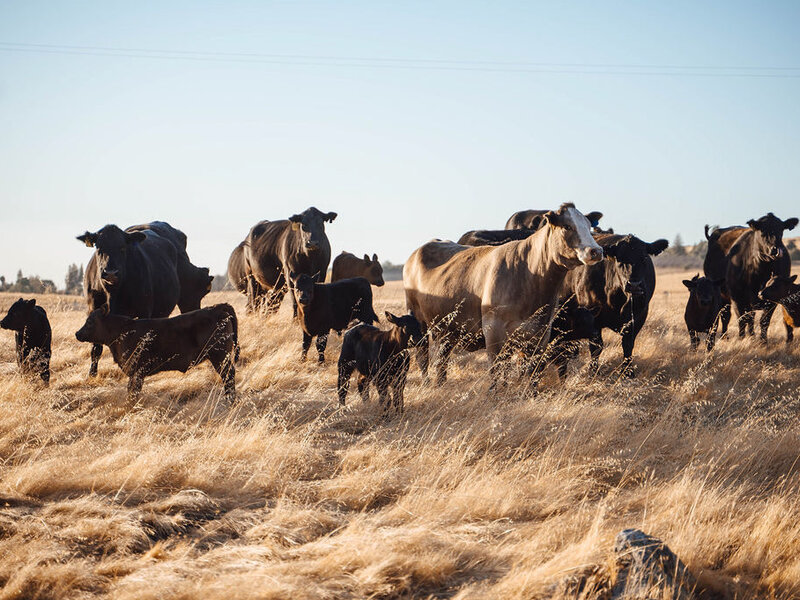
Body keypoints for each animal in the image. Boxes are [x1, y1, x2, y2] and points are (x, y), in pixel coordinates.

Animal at [75, 303, 238, 400]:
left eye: (90, 321)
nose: (77, 333)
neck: (124, 331)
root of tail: (217, 307)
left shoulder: (138, 370)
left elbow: (133, 391)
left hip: (219, 356)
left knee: (228, 375)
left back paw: (230, 400)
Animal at [78, 224, 181, 377]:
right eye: (99, 248)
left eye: (122, 248)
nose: (110, 273)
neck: (112, 293)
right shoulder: (93, 310)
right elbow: (96, 348)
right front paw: (92, 374)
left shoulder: (144, 312)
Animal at [403, 203, 603, 386]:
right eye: (567, 226)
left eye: (588, 226)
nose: (596, 251)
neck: (529, 274)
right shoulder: (494, 331)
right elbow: (497, 372)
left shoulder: (539, 334)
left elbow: (531, 374)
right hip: (419, 322)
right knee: (423, 357)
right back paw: (427, 383)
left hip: (446, 330)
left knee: (442, 360)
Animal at [560, 233, 669, 376]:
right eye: (619, 259)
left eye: (644, 257)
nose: (634, 285)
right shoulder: (592, 317)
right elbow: (596, 346)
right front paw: (593, 371)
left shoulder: (638, 316)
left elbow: (628, 345)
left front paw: (628, 372)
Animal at [724, 213, 798, 341]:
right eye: (762, 231)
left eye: (781, 230)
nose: (775, 250)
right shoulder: (737, 298)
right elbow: (742, 320)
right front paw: (742, 339)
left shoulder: (772, 300)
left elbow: (764, 321)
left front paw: (763, 341)